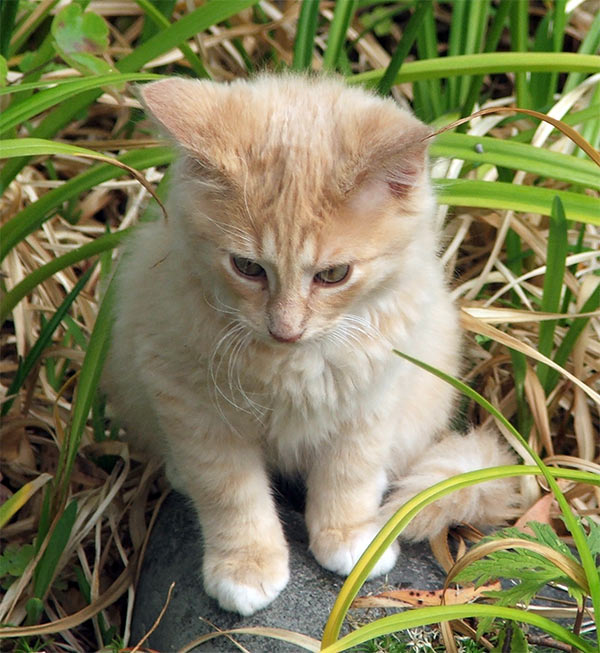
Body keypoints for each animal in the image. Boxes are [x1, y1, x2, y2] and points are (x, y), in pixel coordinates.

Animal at [103, 74, 516, 612]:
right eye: (247, 267)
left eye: (334, 275)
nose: (286, 328)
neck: (289, 364)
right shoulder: (187, 400)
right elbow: (229, 490)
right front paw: (247, 564)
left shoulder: (374, 393)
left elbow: (350, 470)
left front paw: (351, 536)